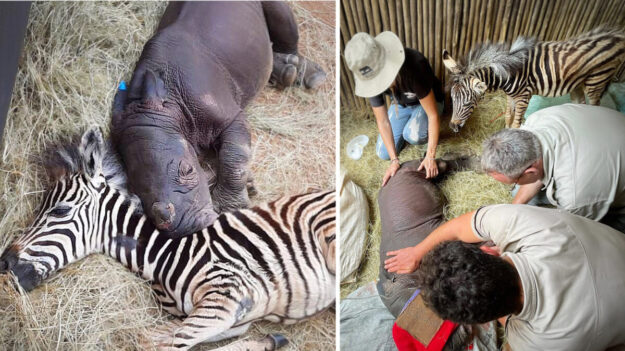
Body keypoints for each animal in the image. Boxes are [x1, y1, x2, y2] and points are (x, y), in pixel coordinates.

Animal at [0, 129, 336, 351]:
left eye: (60, 210)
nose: (4, 262)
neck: (166, 255)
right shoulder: (233, 316)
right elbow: (158, 339)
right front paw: (270, 340)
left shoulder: (226, 297)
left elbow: (164, 345)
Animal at [112, 0, 326, 239]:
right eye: (134, 191)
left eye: (188, 170)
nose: (183, 227)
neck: (169, 105)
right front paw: (247, 185)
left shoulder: (229, 117)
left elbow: (234, 157)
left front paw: (230, 208)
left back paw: (305, 75)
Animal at [442, 26, 624, 132]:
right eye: (452, 98)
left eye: (468, 102)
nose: (452, 126)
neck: (508, 73)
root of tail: (615, 37)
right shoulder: (510, 96)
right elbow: (508, 117)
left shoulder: (523, 97)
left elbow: (516, 123)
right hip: (577, 84)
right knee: (581, 104)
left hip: (596, 80)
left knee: (594, 105)